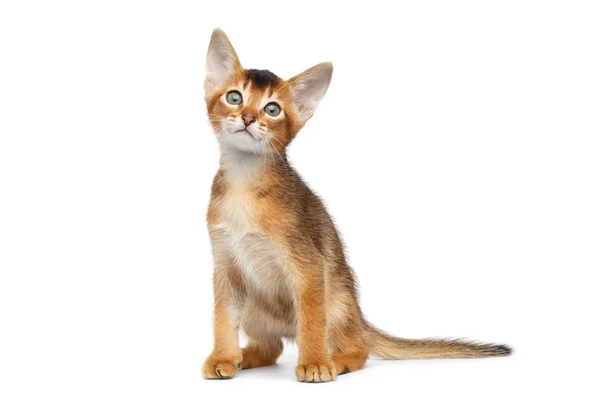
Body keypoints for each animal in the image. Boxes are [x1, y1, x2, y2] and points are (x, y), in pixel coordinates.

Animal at [203, 28, 510, 382]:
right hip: (255, 305)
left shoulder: (307, 263)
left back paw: (335, 360)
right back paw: (244, 356)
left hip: (335, 300)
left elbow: (311, 321)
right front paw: (223, 357)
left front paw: (314, 363)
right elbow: (222, 318)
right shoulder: (225, 266)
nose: (248, 118)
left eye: (272, 109)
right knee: (272, 347)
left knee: (356, 347)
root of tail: (359, 317)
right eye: (234, 98)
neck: (244, 183)